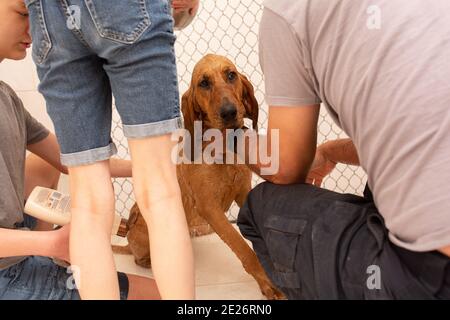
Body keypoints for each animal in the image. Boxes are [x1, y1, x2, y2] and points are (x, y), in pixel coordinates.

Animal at [116, 55, 284, 300]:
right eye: (203, 83)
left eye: (231, 75)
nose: (229, 112)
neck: (223, 151)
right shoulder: (210, 209)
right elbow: (243, 249)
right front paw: (267, 283)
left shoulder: (243, 193)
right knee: (139, 259)